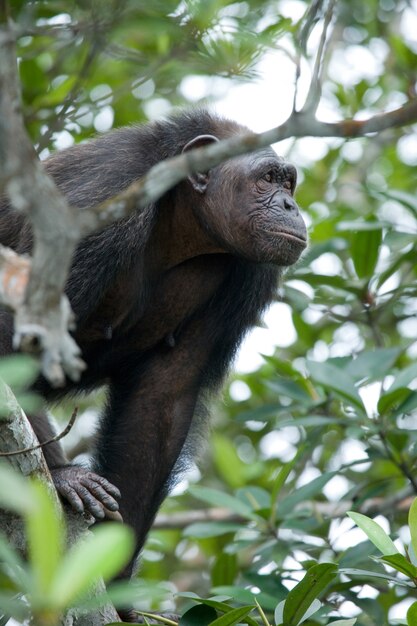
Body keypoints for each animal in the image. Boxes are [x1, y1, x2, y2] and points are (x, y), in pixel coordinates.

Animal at [0, 107, 306, 608]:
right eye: (267, 179)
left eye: (289, 182)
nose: (290, 207)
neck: (180, 218)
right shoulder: (93, 210)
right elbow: (15, 339)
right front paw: (63, 477)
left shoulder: (252, 273)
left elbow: (162, 399)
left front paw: (117, 580)